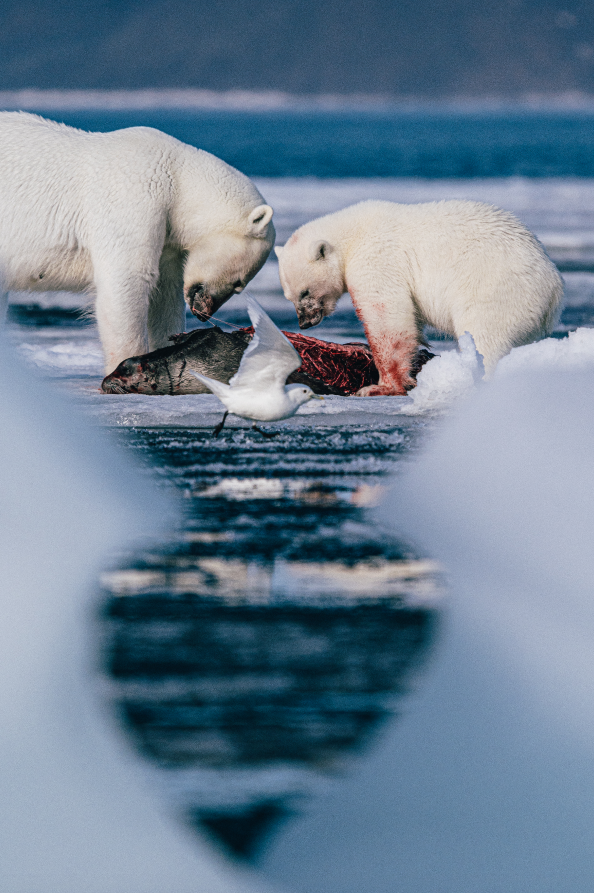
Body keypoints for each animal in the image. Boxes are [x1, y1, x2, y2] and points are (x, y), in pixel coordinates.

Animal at [0, 112, 272, 372]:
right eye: (239, 284)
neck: (175, 178)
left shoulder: (168, 233)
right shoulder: (133, 198)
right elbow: (128, 278)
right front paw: (126, 363)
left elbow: (165, 290)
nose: (205, 313)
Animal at [272, 202, 560, 398]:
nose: (305, 322)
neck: (350, 235)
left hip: (495, 290)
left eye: (304, 292)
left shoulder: (376, 258)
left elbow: (387, 314)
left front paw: (379, 387)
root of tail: (555, 288)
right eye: (289, 295)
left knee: (485, 335)